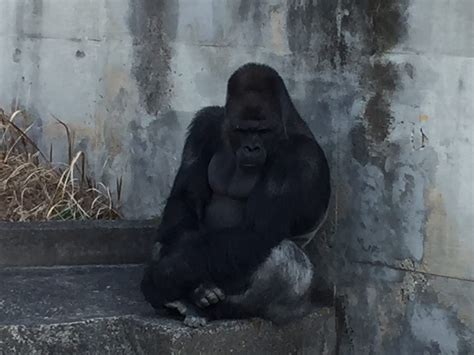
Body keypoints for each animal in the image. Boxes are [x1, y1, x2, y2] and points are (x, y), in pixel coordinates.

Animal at [143, 62, 332, 326]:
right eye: (242, 130)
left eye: (263, 131)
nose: (251, 148)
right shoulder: (205, 124)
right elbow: (184, 202)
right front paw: (168, 276)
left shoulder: (300, 158)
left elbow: (256, 231)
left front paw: (163, 277)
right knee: (168, 235)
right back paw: (191, 296)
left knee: (285, 259)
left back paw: (224, 308)